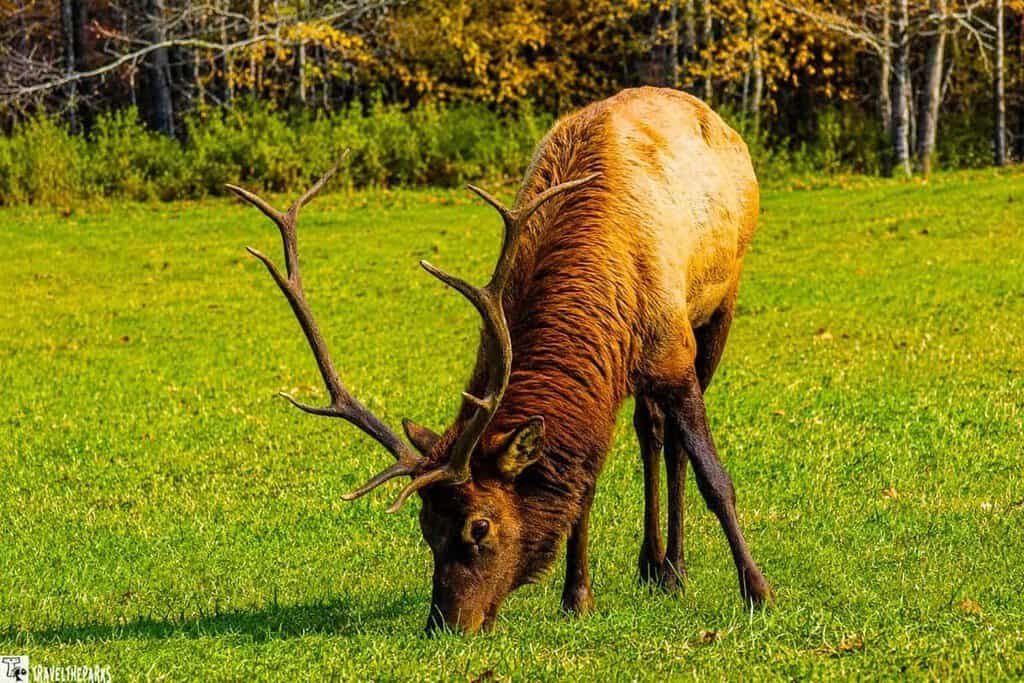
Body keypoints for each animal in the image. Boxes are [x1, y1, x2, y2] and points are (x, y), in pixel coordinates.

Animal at [229, 87, 773, 633]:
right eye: (426, 528)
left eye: (480, 526)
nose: (444, 624)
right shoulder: (601, 377)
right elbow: (582, 485)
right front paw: (577, 597)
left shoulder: (673, 351)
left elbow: (714, 478)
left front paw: (758, 591)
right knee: (651, 430)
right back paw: (651, 565)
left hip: (719, 303)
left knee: (675, 445)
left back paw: (676, 569)